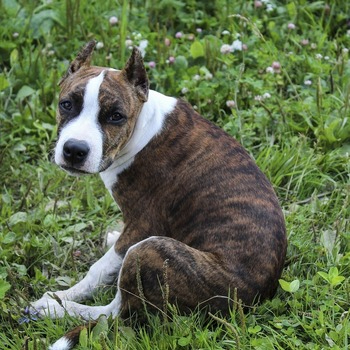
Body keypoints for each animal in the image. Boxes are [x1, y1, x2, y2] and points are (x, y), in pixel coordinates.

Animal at [30, 40, 288, 348]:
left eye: (116, 116)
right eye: (66, 104)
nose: (74, 150)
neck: (142, 127)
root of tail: (251, 300)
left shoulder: (144, 224)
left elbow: (98, 270)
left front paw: (65, 295)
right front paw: (113, 237)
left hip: (151, 251)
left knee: (114, 313)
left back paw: (53, 307)